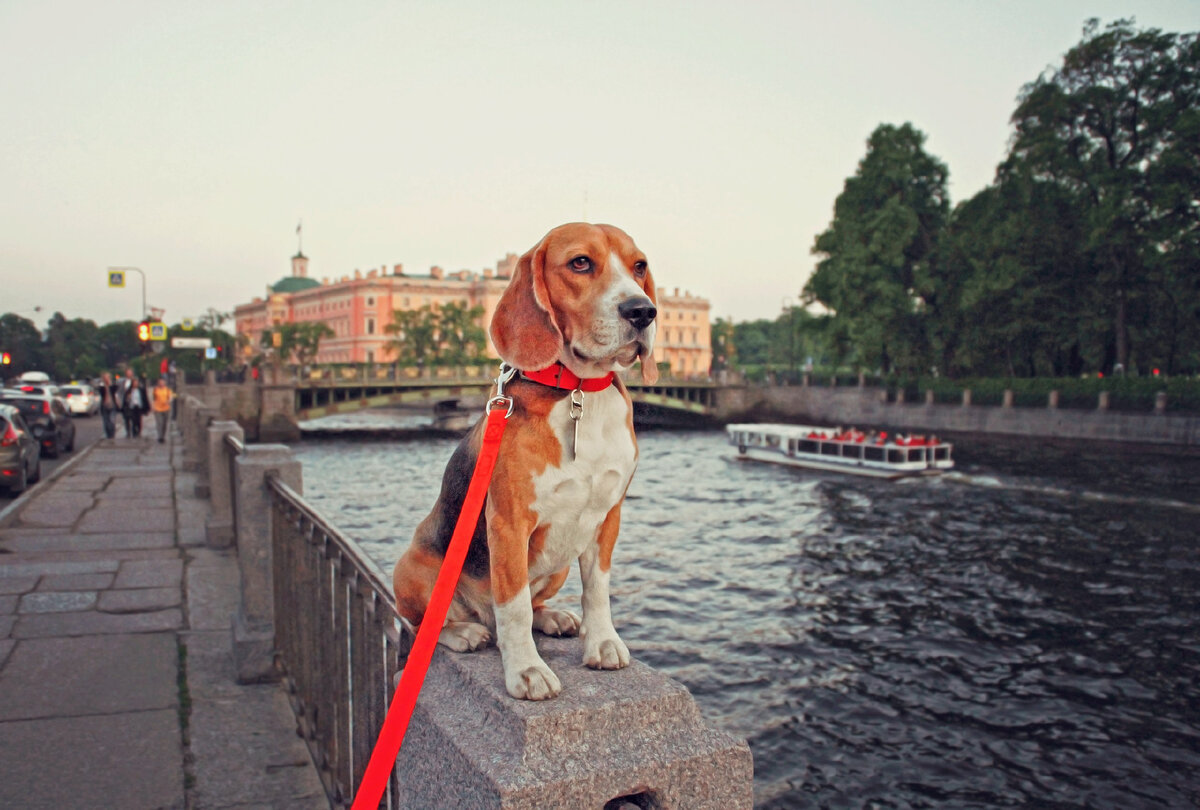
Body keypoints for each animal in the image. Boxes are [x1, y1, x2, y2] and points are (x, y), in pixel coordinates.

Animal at [391, 224, 657, 700]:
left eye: (639, 266)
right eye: (580, 262)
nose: (643, 311)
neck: (579, 392)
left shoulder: (608, 517)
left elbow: (598, 590)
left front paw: (602, 642)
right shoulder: (509, 523)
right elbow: (513, 607)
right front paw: (527, 671)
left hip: (560, 563)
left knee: (534, 604)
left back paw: (553, 617)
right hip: (413, 568)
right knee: (431, 625)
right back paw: (464, 632)